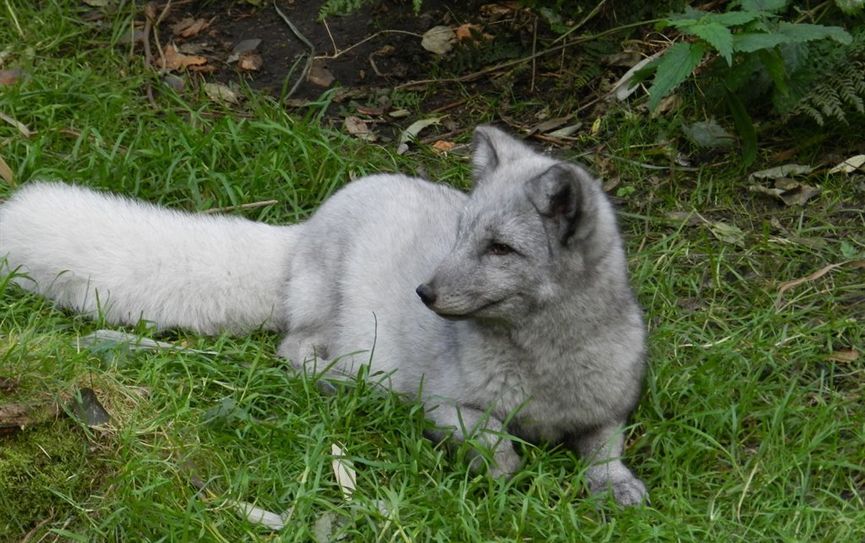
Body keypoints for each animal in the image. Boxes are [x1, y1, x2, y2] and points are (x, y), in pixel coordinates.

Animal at [0, 126, 648, 506]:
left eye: (500, 249)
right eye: (461, 236)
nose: (424, 293)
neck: (546, 366)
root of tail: (307, 226)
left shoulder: (610, 411)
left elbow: (606, 450)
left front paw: (616, 488)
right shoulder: (445, 405)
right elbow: (501, 451)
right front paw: (497, 474)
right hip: (336, 323)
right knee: (293, 352)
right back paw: (345, 386)